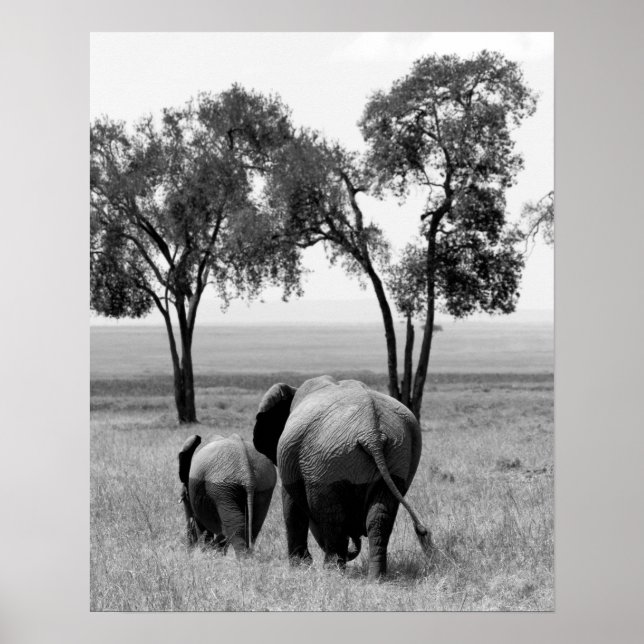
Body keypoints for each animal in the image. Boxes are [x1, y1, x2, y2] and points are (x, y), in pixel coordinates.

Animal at [253, 375, 433, 580]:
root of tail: (372, 432)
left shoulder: (289, 464)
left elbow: (291, 507)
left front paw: (299, 567)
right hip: (397, 453)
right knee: (379, 516)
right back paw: (376, 578)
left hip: (327, 459)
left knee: (332, 517)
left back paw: (333, 572)